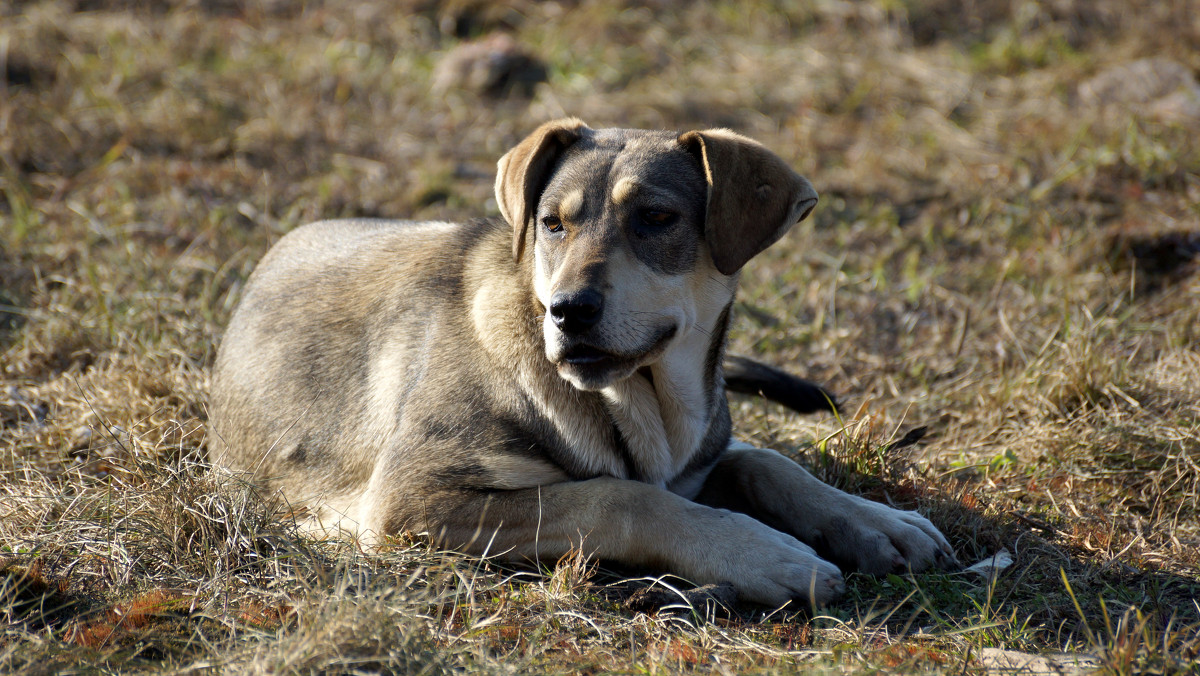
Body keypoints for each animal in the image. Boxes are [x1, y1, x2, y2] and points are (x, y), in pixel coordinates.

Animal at [206, 118, 955, 605]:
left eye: (656, 218)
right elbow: (619, 495)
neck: (645, 405)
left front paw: (876, 522)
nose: (568, 311)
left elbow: (767, 462)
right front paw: (764, 554)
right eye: (552, 224)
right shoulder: (409, 500)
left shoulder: (704, 451)